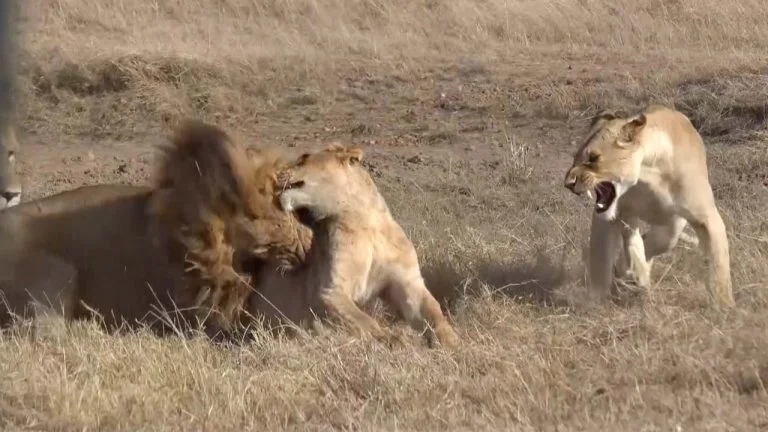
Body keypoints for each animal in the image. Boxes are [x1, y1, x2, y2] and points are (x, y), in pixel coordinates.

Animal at [244, 144, 460, 348]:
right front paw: (393, 340)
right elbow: (363, 321)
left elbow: (434, 310)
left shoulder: (408, 283)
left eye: (303, 158)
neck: (366, 221)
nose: (273, 175)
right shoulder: (330, 290)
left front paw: (450, 340)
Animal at [563, 104, 733, 308]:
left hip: (673, 223)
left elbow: (719, 263)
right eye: (575, 158)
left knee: (660, 240)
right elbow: (610, 256)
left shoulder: (706, 218)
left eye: (593, 158)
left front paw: (725, 306)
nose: (568, 183)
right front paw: (597, 300)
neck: (648, 174)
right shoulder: (615, 214)